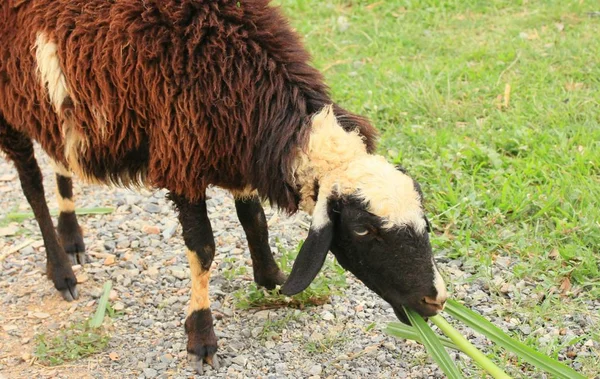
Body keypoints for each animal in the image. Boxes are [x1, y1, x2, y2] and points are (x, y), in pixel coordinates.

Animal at [0, 0, 448, 374]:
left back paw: (72, 236)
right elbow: (203, 249)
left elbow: (254, 219)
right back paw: (61, 270)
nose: (436, 300)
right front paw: (201, 337)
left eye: (425, 221)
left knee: (59, 158)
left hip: (52, 108)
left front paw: (270, 276)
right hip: (10, 107)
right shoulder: (181, 157)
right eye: (362, 230)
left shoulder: (236, 149)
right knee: (31, 184)